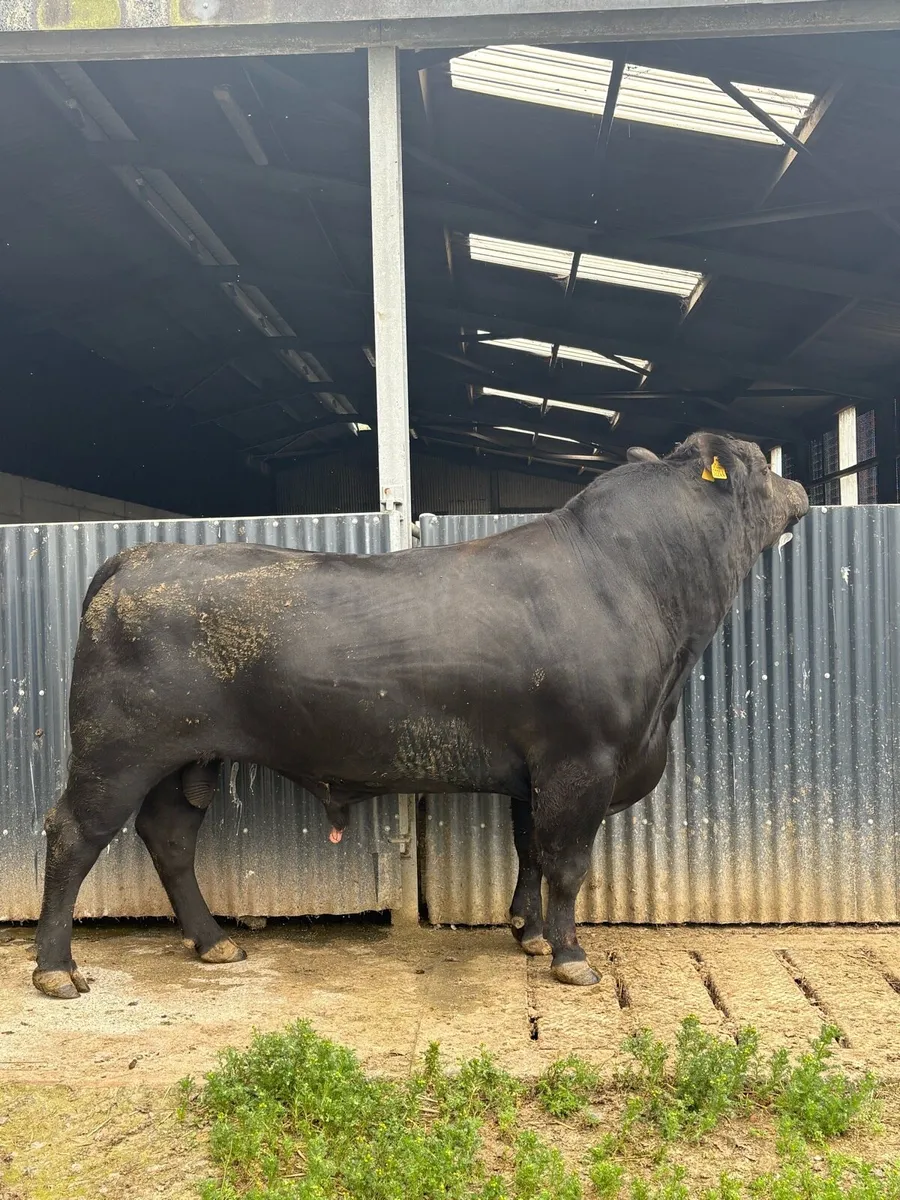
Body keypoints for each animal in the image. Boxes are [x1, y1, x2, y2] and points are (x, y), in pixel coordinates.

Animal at [31, 432, 808, 999]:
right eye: (756, 462)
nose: (799, 484)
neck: (635, 584)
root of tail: (143, 553)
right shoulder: (579, 762)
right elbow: (567, 861)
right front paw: (570, 956)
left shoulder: (535, 771)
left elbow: (530, 849)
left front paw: (526, 933)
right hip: (116, 751)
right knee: (73, 834)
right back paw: (57, 969)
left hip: (189, 758)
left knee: (169, 836)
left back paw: (215, 942)